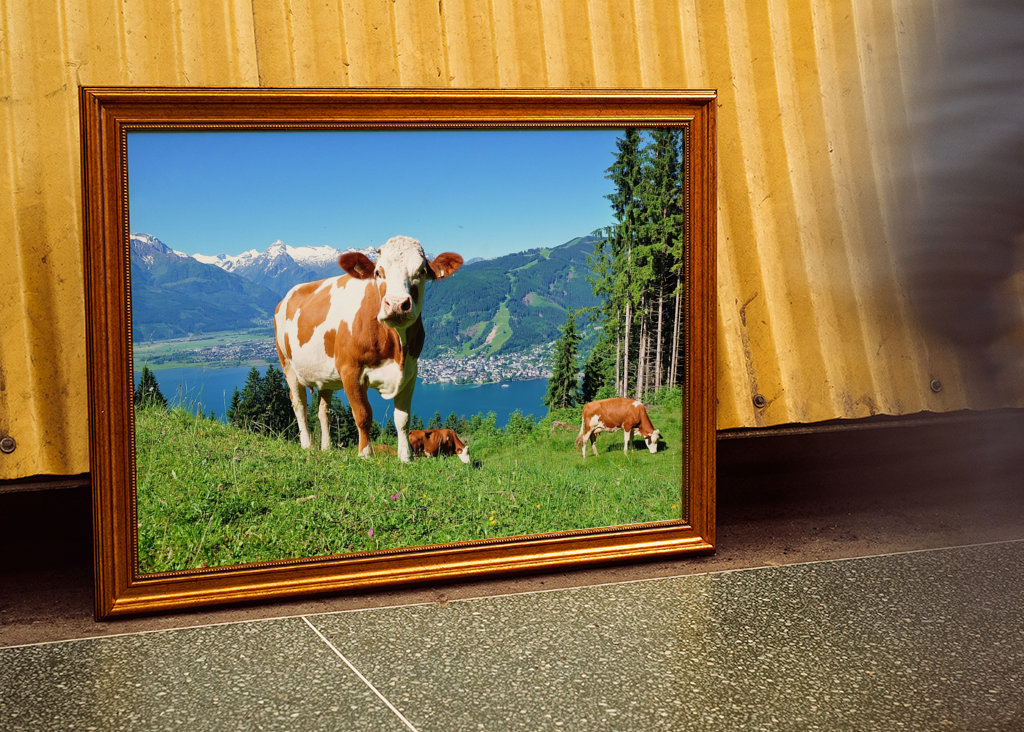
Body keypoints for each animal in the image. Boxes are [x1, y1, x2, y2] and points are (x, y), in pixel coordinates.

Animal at [274, 235, 463, 463]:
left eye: (421, 271)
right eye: (378, 272)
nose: (397, 304)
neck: (396, 347)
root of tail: (287, 296)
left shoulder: (411, 371)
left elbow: (403, 418)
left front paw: (405, 456)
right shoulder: (350, 371)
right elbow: (363, 415)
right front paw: (365, 453)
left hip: (324, 376)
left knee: (323, 410)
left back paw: (326, 447)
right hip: (287, 365)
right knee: (299, 404)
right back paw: (307, 445)